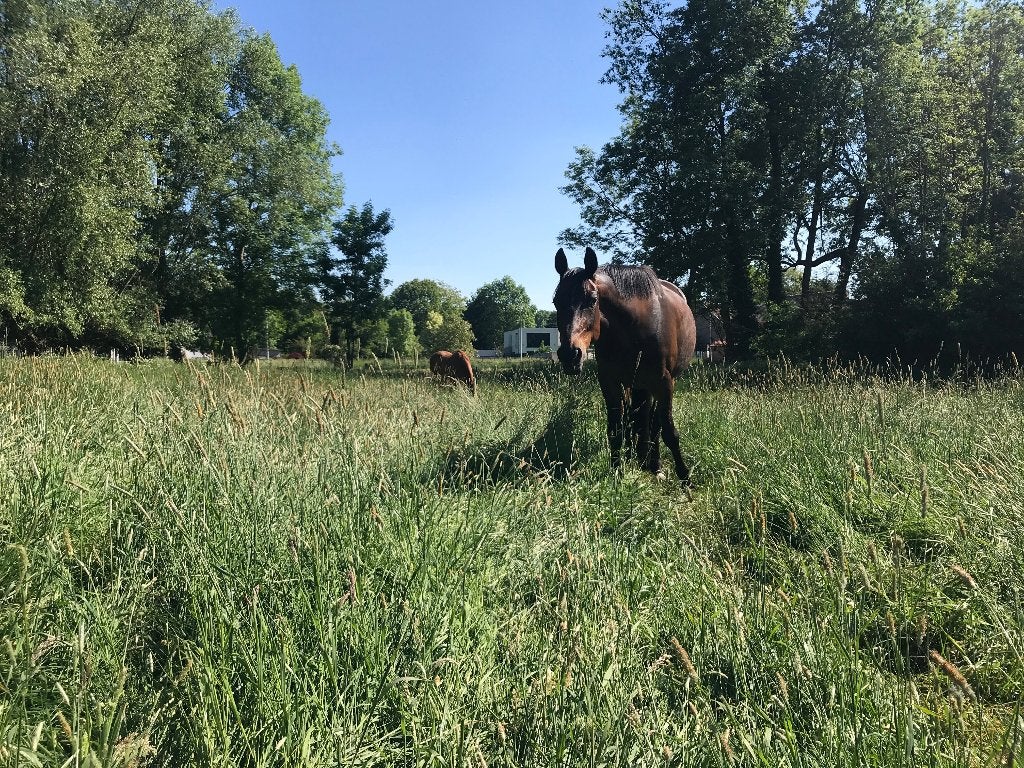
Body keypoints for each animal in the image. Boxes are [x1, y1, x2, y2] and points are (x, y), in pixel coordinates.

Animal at [553, 247, 696, 484]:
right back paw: (639, 456)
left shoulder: (664, 382)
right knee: (638, 418)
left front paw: (684, 477)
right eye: (556, 301)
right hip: (637, 384)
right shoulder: (610, 382)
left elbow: (668, 431)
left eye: (592, 300)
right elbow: (616, 429)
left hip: (660, 382)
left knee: (653, 423)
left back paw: (653, 463)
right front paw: (617, 470)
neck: (634, 328)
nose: (569, 355)